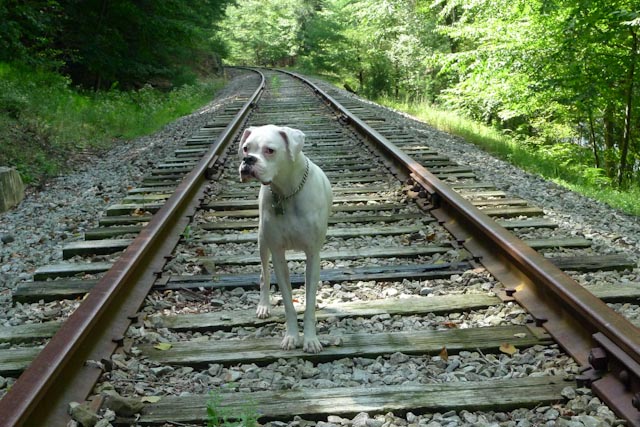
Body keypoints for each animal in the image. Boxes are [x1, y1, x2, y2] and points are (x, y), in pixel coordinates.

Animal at [238, 124, 332, 354]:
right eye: (245, 148)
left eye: (269, 150)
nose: (248, 160)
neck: (287, 192)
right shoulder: (278, 255)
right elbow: (288, 302)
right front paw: (291, 337)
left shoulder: (313, 254)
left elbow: (309, 300)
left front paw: (310, 339)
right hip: (262, 243)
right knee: (264, 275)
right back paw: (264, 306)